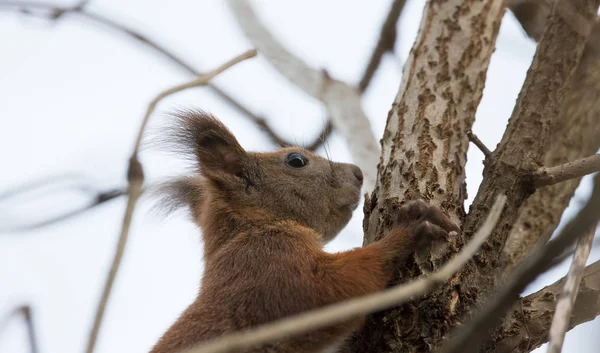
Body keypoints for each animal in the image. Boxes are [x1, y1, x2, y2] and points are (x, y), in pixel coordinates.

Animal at [149, 110, 460, 352]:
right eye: (296, 160)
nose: (358, 173)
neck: (252, 228)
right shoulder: (267, 266)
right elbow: (328, 289)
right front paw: (409, 228)